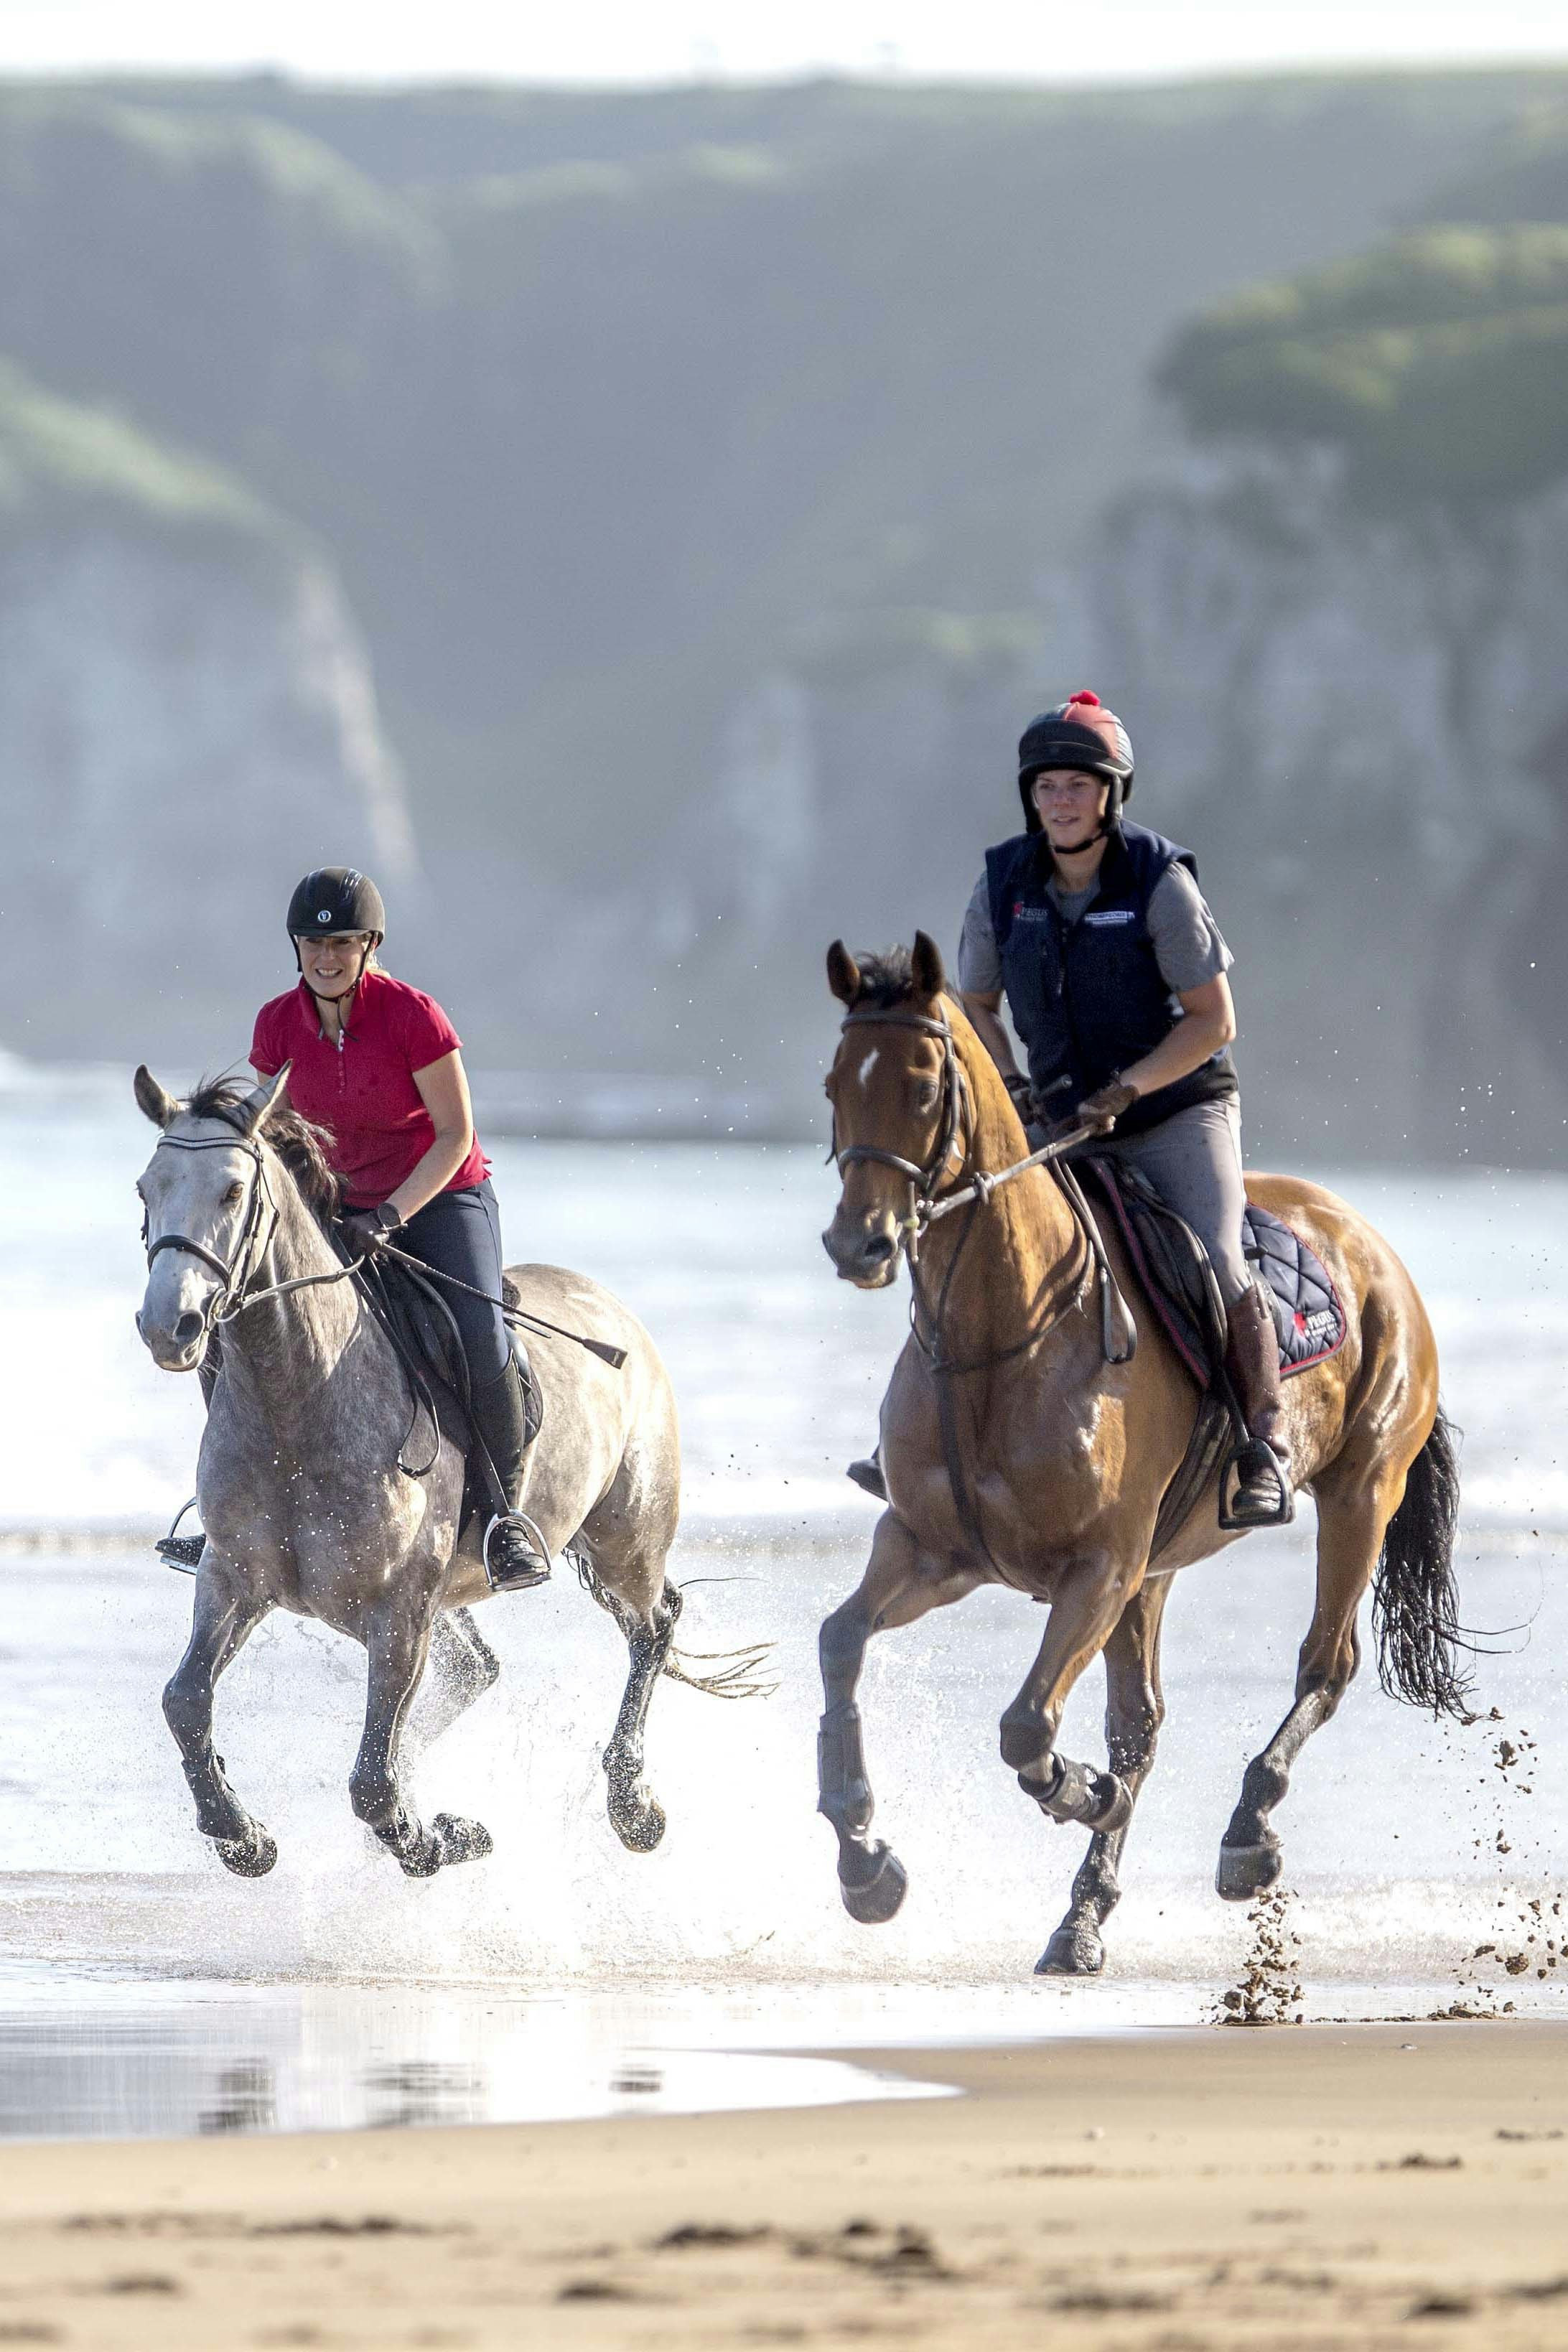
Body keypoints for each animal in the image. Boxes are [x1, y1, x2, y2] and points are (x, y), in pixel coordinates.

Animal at [133, 1066, 758, 1879]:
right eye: (146, 1189)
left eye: (233, 1192)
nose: (167, 1327)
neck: (297, 1403)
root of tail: (611, 1308)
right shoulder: (232, 1580)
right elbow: (185, 1702)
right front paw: (244, 1836)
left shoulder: (399, 1614)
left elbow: (371, 1780)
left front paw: (445, 1838)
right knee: (484, 1668)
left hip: (625, 1539)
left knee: (653, 1628)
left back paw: (634, 1808)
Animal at [816, 932, 1465, 1976]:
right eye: (836, 1082)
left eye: (922, 1086)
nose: (859, 1243)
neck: (998, 1337)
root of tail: (1369, 1243)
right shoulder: (931, 1551)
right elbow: (840, 1642)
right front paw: (865, 1861)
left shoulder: (1098, 1568)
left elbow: (1026, 1727)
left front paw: (1077, 1791)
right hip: (1158, 1568)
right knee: (1143, 1725)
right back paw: (1082, 1919)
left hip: (1360, 1490)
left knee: (1324, 1665)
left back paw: (1246, 1833)